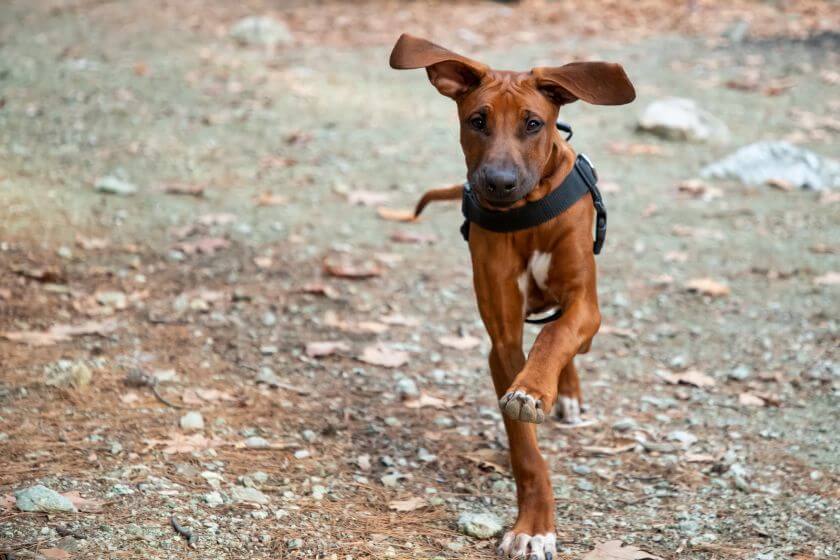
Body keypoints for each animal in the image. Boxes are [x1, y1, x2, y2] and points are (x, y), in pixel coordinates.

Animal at [390, 35, 632, 560]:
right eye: (477, 120)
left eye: (533, 123)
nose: (498, 183)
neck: (527, 214)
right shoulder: (502, 341)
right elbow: (525, 449)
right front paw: (533, 527)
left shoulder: (586, 304)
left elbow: (556, 337)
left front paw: (535, 389)